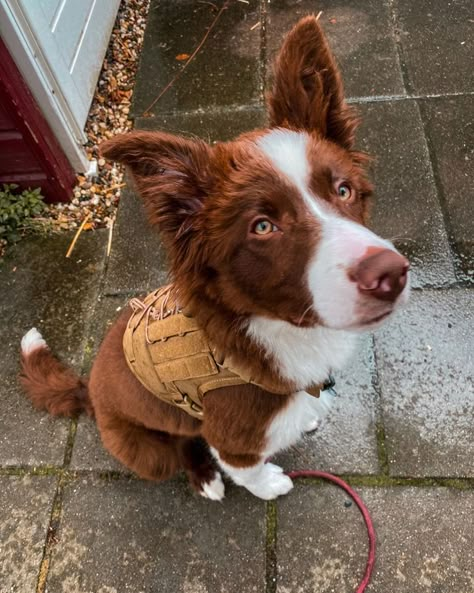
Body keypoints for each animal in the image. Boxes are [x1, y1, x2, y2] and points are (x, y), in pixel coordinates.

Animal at [20, 16, 410, 500]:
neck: (275, 330)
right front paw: (271, 484)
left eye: (344, 190)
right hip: (147, 450)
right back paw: (204, 478)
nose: (391, 275)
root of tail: (88, 391)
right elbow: (246, 467)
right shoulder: (235, 434)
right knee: (180, 446)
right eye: (262, 226)